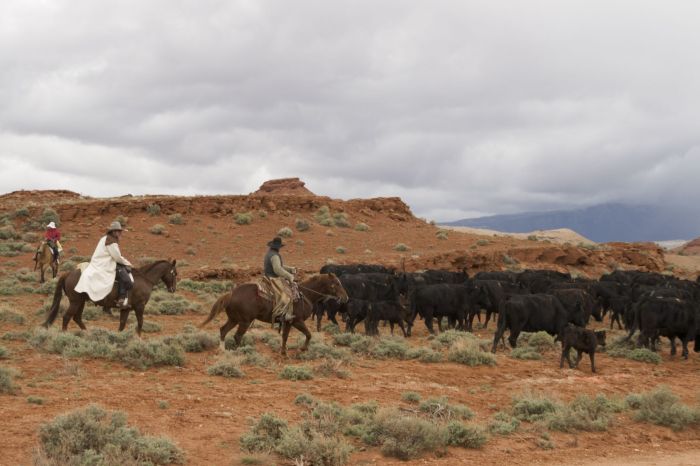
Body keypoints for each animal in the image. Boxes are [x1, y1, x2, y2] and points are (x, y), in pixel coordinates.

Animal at [43, 260, 178, 336]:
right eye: (175, 273)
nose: (173, 289)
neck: (144, 279)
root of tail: (69, 273)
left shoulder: (125, 308)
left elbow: (122, 324)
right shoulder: (140, 306)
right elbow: (140, 322)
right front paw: (138, 337)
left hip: (81, 302)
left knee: (77, 318)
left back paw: (88, 334)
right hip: (75, 302)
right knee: (67, 317)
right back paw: (65, 335)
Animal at [200, 274, 348, 356]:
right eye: (335, 283)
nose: (345, 297)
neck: (305, 295)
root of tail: (231, 293)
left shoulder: (288, 322)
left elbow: (285, 337)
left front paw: (284, 353)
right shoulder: (297, 321)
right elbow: (308, 334)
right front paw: (303, 348)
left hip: (234, 319)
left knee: (223, 330)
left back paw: (223, 350)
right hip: (244, 321)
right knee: (237, 336)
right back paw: (243, 351)